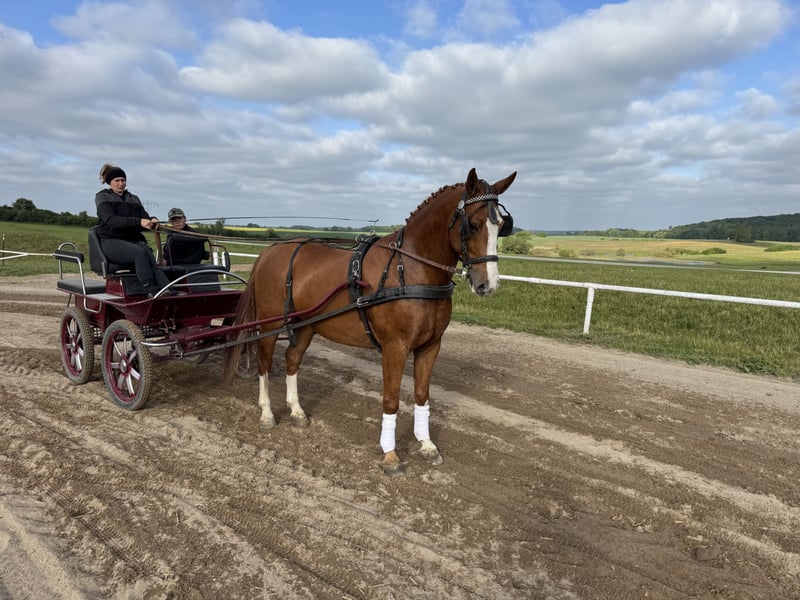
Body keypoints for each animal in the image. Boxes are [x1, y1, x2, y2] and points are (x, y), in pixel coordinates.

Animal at [224, 168, 517, 476]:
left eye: (501, 226)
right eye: (472, 225)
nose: (488, 284)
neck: (408, 269)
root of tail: (272, 250)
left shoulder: (430, 346)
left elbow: (422, 395)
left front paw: (426, 445)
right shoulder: (394, 348)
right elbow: (391, 399)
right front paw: (390, 455)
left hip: (305, 326)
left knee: (292, 360)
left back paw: (297, 411)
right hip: (270, 326)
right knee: (265, 364)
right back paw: (267, 413)